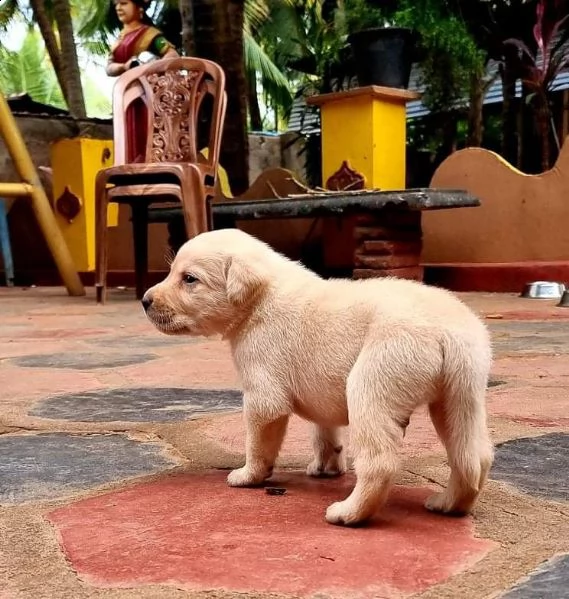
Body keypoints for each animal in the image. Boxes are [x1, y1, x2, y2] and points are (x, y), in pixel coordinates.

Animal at [143, 227, 492, 528]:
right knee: (473, 458)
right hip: (460, 396)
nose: (145, 300)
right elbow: (324, 432)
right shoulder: (321, 393)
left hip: (373, 382)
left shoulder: (262, 393)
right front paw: (326, 468)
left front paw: (248, 475)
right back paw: (448, 503)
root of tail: (450, 331)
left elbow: (258, 442)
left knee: (380, 462)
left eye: (189, 279)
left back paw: (349, 513)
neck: (262, 297)